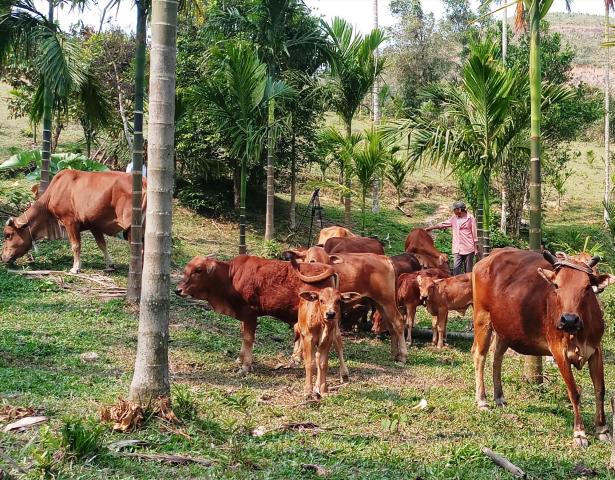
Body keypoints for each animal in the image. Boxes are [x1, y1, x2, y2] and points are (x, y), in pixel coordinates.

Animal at [1, 171, 147, 272]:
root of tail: (144, 182)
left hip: (132, 227)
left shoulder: (69, 221)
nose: (3, 257)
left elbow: (75, 245)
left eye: (8, 235)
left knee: (140, 251)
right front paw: (110, 264)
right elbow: (102, 244)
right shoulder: (94, 225)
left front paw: (76, 268)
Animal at [176, 255, 334, 372]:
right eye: (186, 270)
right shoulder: (243, 315)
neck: (231, 277)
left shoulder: (250, 314)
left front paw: (245, 366)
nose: (178, 290)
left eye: (199, 270)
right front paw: (240, 359)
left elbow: (248, 338)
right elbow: (243, 335)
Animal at [472, 249, 615, 448]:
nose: (569, 320)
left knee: (497, 358)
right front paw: (579, 433)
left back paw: (499, 397)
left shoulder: (596, 350)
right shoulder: (558, 352)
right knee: (480, 356)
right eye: (556, 285)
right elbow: (574, 392)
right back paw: (482, 400)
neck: (578, 333)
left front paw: (602, 429)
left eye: (587, 287)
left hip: (505, 329)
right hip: (482, 318)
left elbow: (600, 389)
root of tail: (491, 256)